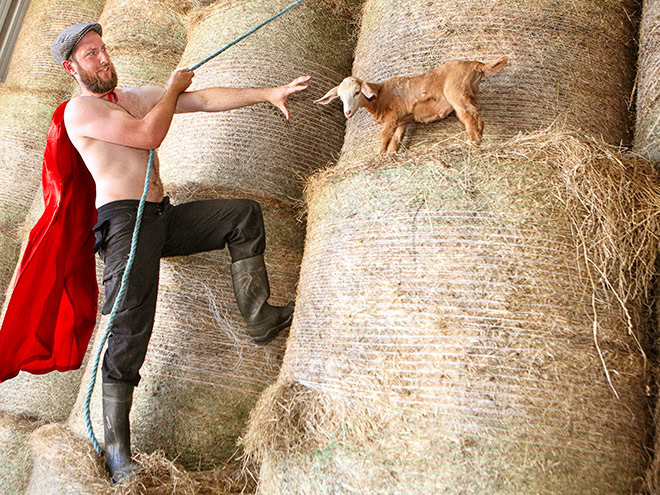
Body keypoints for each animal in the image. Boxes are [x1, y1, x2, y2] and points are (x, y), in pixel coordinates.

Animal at [318, 55, 508, 151]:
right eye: (340, 97)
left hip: (456, 93)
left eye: (357, 92)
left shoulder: (392, 117)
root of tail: (476, 65)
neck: (380, 95)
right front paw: (390, 156)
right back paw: (479, 140)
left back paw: (473, 144)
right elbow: (395, 141)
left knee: (469, 116)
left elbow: (384, 138)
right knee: (476, 117)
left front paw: (380, 156)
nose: (347, 113)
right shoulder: (402, 121)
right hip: (470, 93)